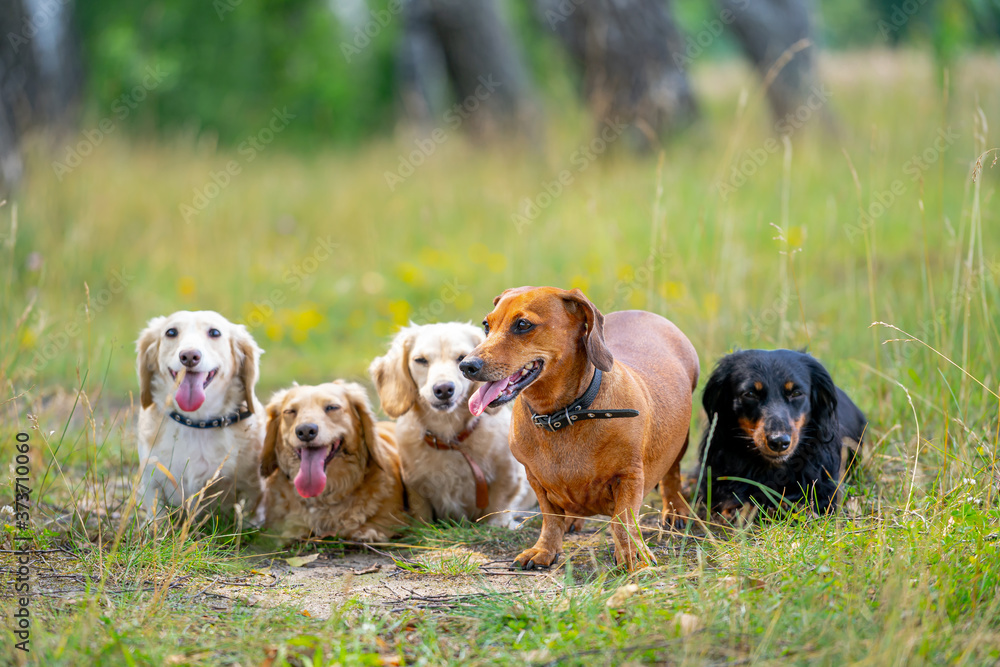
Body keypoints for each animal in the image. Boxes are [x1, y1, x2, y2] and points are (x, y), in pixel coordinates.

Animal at [135, 312, 266, 516]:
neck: (196, 423)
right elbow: (158, 514)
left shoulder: (253, 488)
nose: (189, 356)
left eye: (214, 332)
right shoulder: (152, 481)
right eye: (171, 332)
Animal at [370, 324, 540, 528]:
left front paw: (498, 525)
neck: (450, 439)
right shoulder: (416, 487)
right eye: (420, 360)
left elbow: (498, 507)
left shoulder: (508, 476)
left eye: (462, 358)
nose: (444, 389)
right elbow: (421, 514)